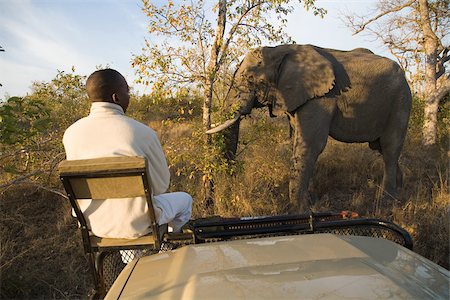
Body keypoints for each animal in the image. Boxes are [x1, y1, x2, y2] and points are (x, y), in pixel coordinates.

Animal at [207, 45, 412, 213]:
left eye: (251, 80)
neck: (281, 50)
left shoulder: (322, 97)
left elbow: (311, 144)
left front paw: (300, 211)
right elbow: (299, 141)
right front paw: (311, 202)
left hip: (401, 101)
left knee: (390, 147)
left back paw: (387, 203)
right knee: (380, 148)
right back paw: (401, 192)